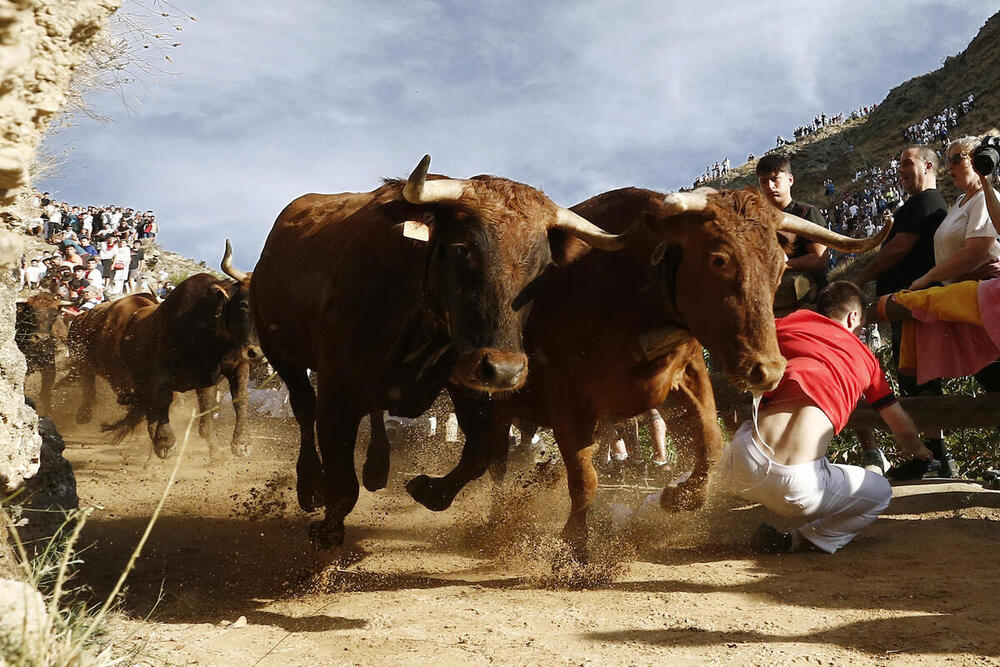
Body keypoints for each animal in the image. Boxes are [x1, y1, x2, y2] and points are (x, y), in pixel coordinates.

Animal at [68, 241, 260, 460]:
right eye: (244, 304)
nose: (256, 352)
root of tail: (85, 317)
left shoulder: (226, 371)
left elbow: (237, 400)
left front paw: (237, 444)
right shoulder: (160, 374)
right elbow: (161, 401)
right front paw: (165, 441)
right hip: (87, 363)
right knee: (90, 384)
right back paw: (85, 414)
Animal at [250, 155, 624, 548]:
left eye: (544, 269)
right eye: (463, 248)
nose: (506, 371)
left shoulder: (469, 383)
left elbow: (477, 455)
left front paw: (430, 491)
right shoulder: (337, 390)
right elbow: (340, 480)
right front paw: (328, 530)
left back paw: (377, 467)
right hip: (282, 355)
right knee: (304, 409)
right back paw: (309, 484)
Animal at [390, 188, 892, 560]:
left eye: (780, 264)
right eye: (719, 258)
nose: (765, 369)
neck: (632, 285)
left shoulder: (688, 371)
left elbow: (711, 442)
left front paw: (679, 497)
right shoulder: (565, 394)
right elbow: (585, 477)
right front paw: (573, 546)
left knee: (499, 461)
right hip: (485, 390)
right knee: (485, 458)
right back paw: (446, 495)